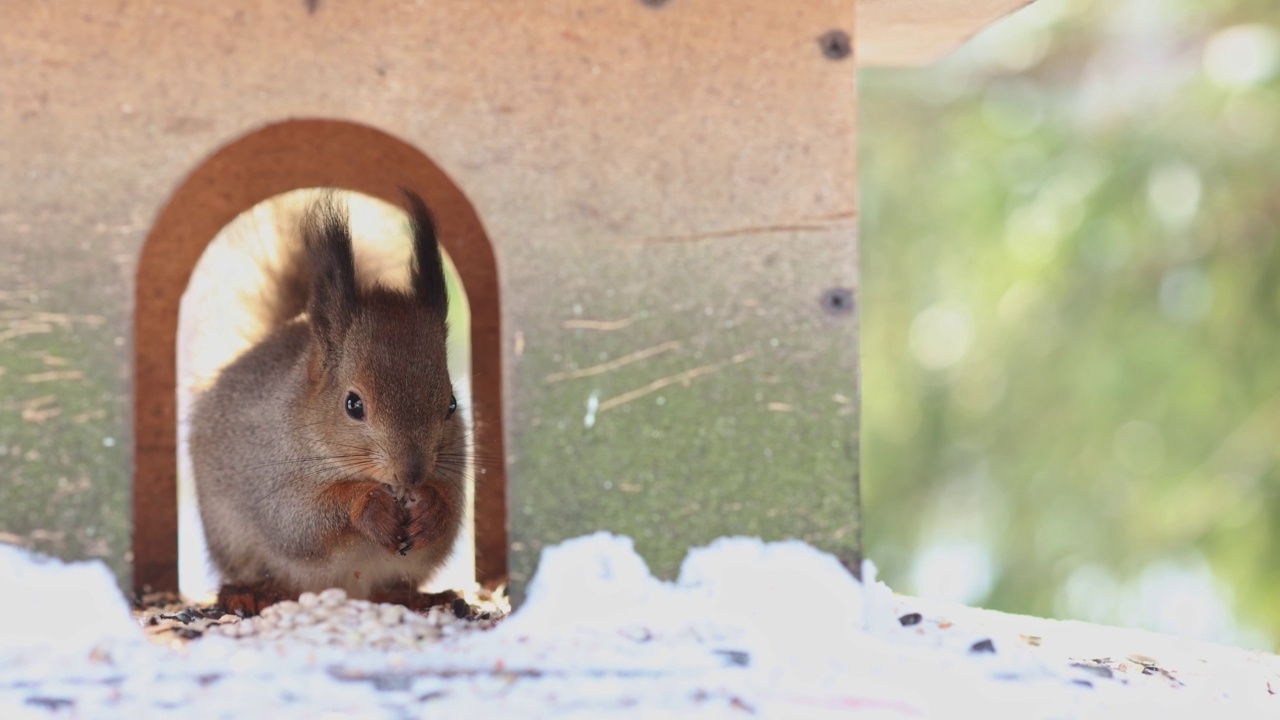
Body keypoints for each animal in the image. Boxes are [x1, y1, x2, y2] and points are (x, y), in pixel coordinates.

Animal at [189, 189, 471, 609]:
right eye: (353, 405)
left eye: (451, 404)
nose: (412, 474)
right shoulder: (271, 476)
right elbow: (299, 521)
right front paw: (369, 506)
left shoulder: (453, 469)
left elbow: (450, 507)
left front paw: (432, 508)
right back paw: (251, 594)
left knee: (390, 589)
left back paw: (418, 598)